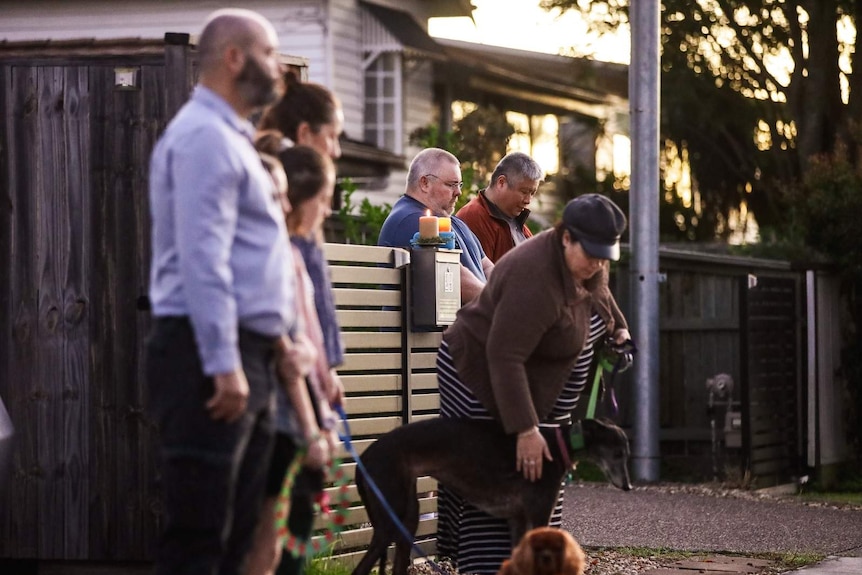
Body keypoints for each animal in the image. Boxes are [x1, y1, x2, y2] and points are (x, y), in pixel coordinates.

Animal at [352, 416, 636, 575]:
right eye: (618, 453)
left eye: (626, 453)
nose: (629, 487)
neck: (559, 444)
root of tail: (363, 458)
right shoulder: (539, 514)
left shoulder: (517, 520)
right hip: (389, 519)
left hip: (407, 518)